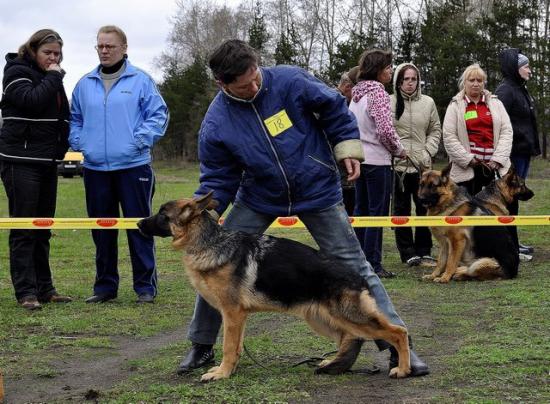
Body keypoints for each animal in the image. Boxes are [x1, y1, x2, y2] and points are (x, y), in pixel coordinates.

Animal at [139, 193, 414, 382]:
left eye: (163, 215)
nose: (139, 223)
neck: (210, 243)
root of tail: (357, 276)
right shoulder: (237, 317)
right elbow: (236, 347)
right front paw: (228, 370)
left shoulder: (232, 314)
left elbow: (228, 346)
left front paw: (222, 374)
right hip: (322, 319)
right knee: (350, 337)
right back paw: (332, 363)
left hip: (349, 317)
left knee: (398, 331)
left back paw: (403, 368)